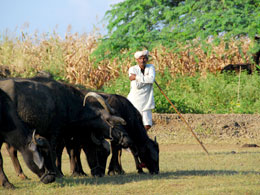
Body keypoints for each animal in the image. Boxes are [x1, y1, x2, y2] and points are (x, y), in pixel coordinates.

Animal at [0, 76, 131, 178]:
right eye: (112, 121)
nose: (127, 139)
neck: (68, 103)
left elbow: (68, 152)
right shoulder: (55, 133)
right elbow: (55, 152)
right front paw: (59, 173)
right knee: (12, 150)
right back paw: (21, 174)